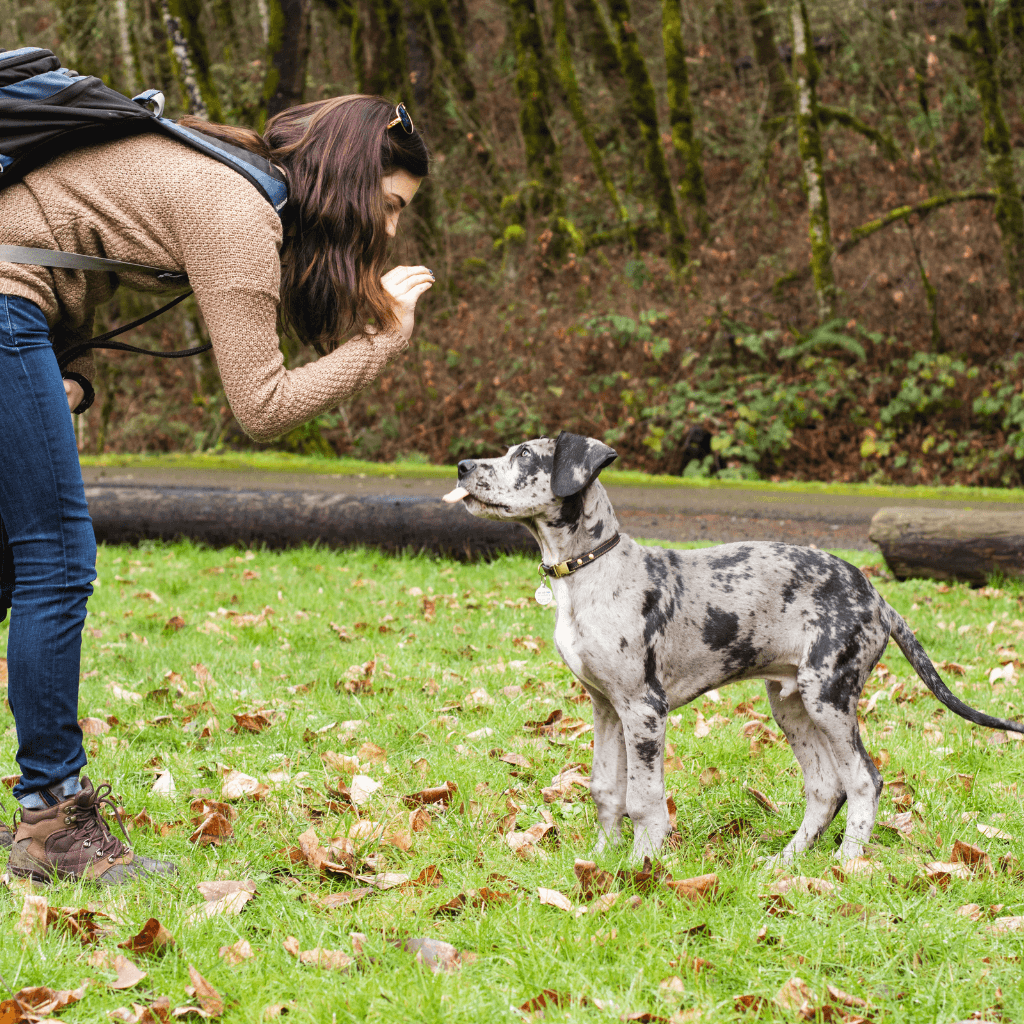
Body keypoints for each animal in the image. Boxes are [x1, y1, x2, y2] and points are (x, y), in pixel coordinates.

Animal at [444, 432, 1024, 864]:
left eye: (524, 455)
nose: (462, 464)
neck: (591, 572)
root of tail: (877, 596)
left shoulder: (644, 709)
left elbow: (644, 799)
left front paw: (641, 867)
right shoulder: (606, 705)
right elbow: (605, 790)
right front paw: (601, 863)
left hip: (828, 695)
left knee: (864, 780)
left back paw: (845, 864)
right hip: (790, 705)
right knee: (824, 788)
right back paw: (786, 863)